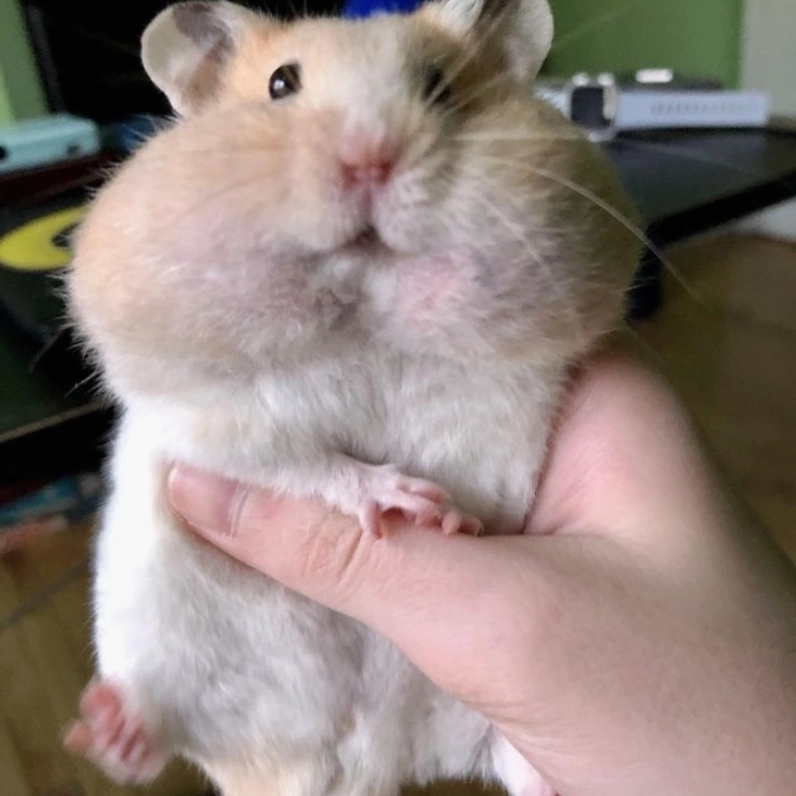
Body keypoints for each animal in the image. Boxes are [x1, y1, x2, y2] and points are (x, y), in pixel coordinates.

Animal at [64, 0, 640, 794]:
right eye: (281, 84)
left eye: (439, 87)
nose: (371, 159)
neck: (365, 330)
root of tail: (370, 761)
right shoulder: (217, 425)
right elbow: (306, 467)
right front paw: (405, 500)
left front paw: (452, 518)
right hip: (162, 637)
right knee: (162, 730)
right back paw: (104, 726)